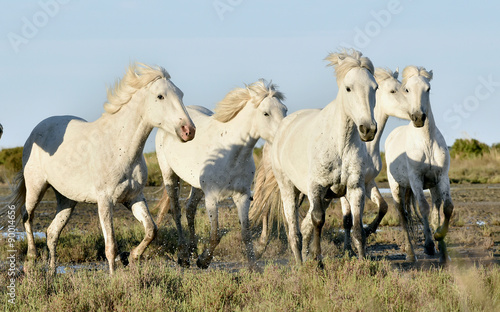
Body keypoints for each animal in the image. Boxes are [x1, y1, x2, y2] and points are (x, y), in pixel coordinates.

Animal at [0, 63, 195, 272]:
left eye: (181, 94)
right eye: (160, 96)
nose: (189, 131)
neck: (120, 147)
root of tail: (35, 132)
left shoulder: (134, 197)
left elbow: (151, 230)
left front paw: (131, 256)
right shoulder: (105, 201)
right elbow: (111, 246)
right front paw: (114, 276)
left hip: (67, 200)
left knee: (52, 232)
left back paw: (52, 273)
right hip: (36, 187)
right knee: (27, 216)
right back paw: (31, 257)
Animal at [154, 80, 288, 268]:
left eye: (285, 110)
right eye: (266, 113)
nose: (286, 136)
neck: (231, 153)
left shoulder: (242, 196)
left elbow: (246, 233)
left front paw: (254, 268)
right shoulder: (212, 197)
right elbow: (215, 235)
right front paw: (204, 261)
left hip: (197, 185)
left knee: (190, 209)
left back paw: (193, 250)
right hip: (170, 175)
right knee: (176, 211)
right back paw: (184, 256)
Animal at [266, 50, 376, 266]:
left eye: (374, 88)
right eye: (348, 88)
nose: (368, 129)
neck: (339, 144)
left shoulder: (354, 188)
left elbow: (357, 227)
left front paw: (362, 263)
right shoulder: (316, 187)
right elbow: (318, 220)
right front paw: (318, 261)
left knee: (305, 226)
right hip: (288, 189)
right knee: (295, 231)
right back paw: (300, 264)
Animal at [384, 66, 456, 264]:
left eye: (428, 89)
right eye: (407, 89)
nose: (418, 117)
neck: (426, 142)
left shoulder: (442, 178)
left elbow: (446, 208)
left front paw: (440, 241)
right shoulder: (416, 180)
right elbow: (423, 207)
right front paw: (429, 245)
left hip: (431, 187)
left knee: (435, 209)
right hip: (397, 187)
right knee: (403, 215)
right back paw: (410, 253)